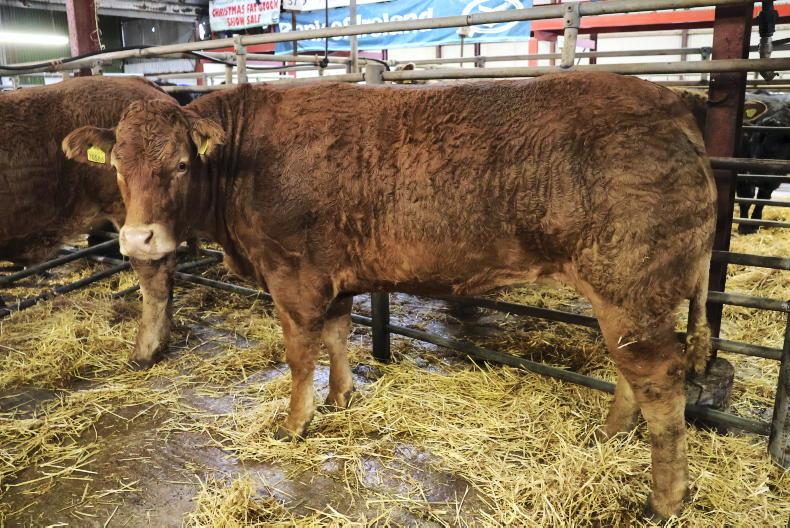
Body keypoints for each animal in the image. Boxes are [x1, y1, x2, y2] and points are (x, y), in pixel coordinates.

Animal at [63, 72, 716, 519]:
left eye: (180, 164)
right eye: (116, 163)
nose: (138, 239)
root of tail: (671, 103)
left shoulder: (293, 276)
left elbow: (299, 354)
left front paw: (295, 422)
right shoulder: (331, 275)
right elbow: (336, 336)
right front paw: (340, 398)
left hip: (632, 287)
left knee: (661, 384)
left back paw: (665, 499)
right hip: (626, 299)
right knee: (634, 374)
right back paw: (610, 435)